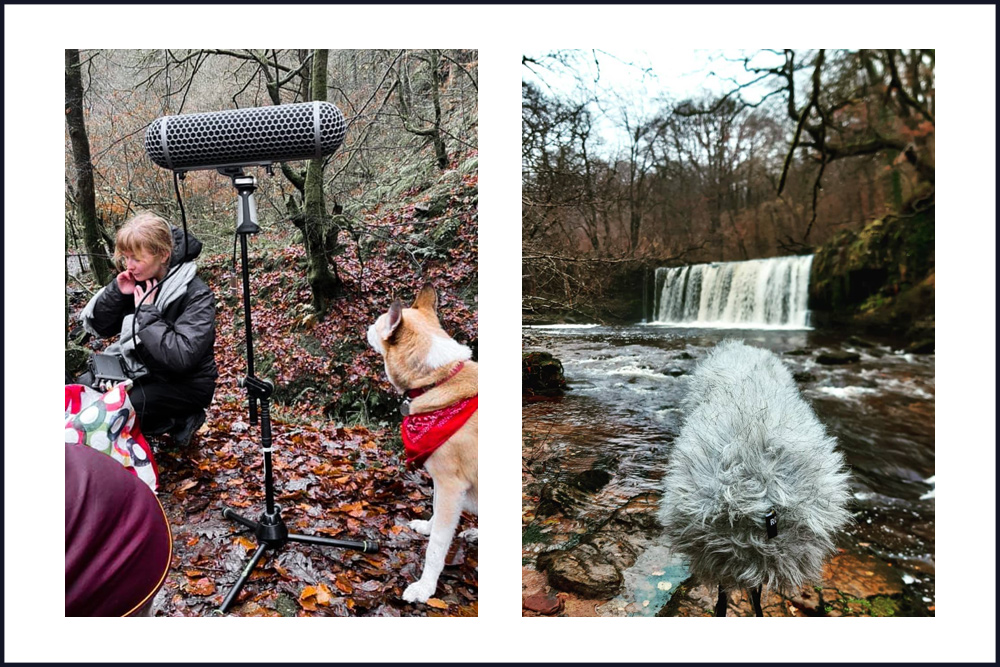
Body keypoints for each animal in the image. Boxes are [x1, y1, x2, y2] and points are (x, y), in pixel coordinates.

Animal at [366, 284, 478, 604]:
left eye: (378, 323)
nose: (366, 327)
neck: (438, 379)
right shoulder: (443, 482)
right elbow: (435, 510)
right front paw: (427, 527)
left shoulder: (452, 485)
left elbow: (437, 547)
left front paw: (425, 587)